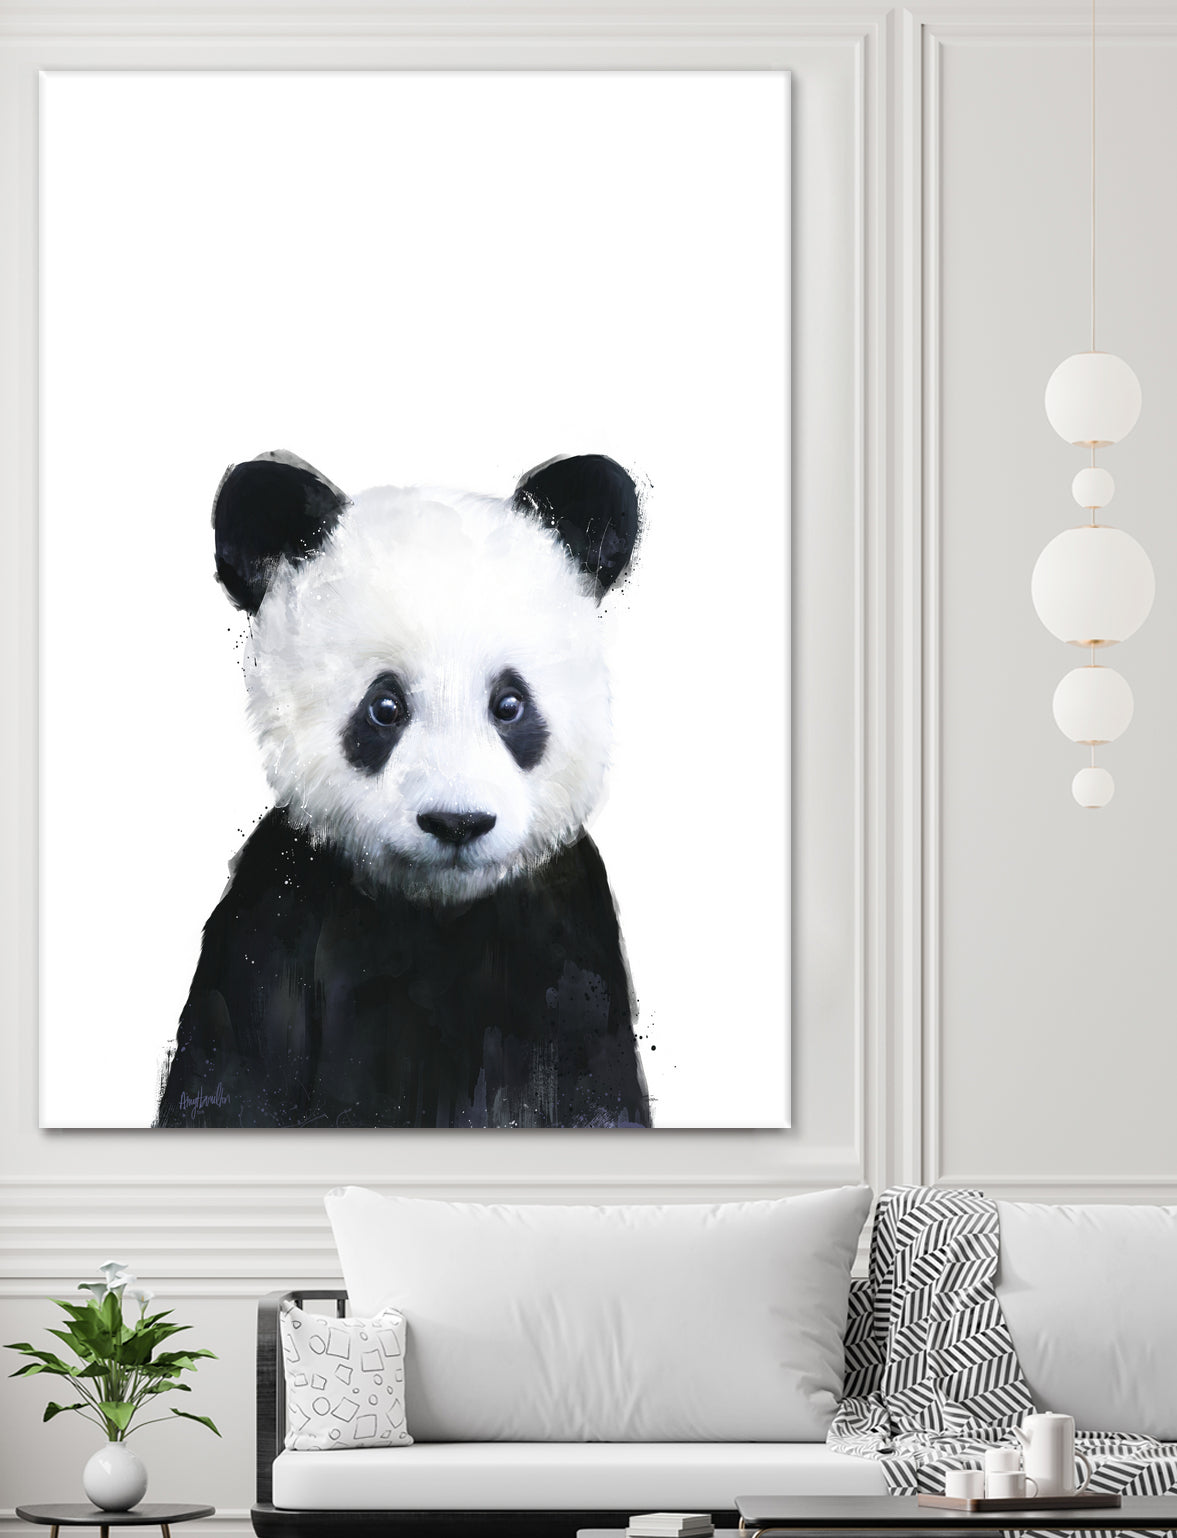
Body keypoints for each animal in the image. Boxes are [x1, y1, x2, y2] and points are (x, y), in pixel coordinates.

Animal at [155, 450, 652, 1129]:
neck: (436, 909)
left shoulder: (568, 937)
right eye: (384, 707)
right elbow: (232, 1077)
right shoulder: (277, 916)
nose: (456, 823)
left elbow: (595, 1091)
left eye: (510, 704)